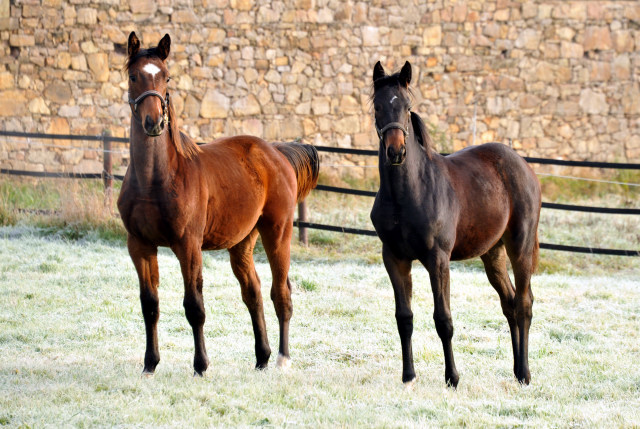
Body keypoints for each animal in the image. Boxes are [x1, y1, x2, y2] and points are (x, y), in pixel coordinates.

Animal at [117, 32, 318, 374]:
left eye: (166, 76)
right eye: (133, 76)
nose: (154, 123)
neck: (155, 180)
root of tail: (277, 152)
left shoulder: (188, 245)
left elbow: (194, 306)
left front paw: (201, 365)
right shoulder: (139, 245)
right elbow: (150, 305)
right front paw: (150, 364)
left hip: (277, 233)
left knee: (281, 294)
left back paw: (282, 358)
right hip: (242, 242)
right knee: (253, 293)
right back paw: (262, 357)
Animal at [370, 61, 540, 386]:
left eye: (407, 106)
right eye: (377, 106)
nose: (396, 152)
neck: (407, 193)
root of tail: (524, 166)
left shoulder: (438, 259)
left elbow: (443, 319)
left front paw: (452, 378)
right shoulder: (394, 258)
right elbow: (404, 318)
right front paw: (408, 376)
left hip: (520, 246)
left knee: (524, 303)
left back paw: (525, 374)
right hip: (492, 253)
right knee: (510, 303)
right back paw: (515, 370)